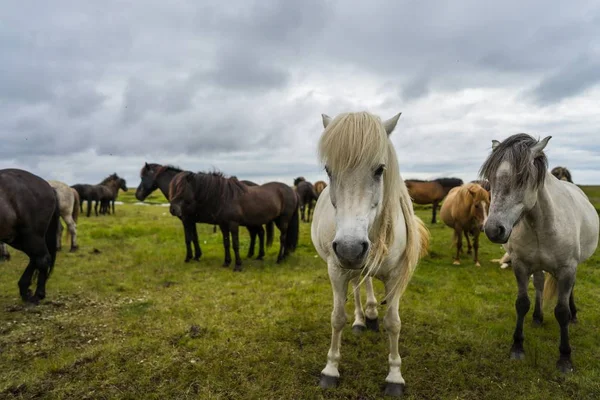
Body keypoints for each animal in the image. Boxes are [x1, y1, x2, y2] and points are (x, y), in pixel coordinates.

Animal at [0, 168, 60, 304]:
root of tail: (49, 187)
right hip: (18, 238)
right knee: (35, 258)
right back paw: (25, 289)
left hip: (31, 235)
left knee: (42, 259)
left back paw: (37, 294)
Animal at [138, 162, 268, 262]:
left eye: (143, 178)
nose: (137, 195)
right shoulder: (192, 221)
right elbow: (194, 237)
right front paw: (197, 256)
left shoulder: (186, 220)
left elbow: (188, 238)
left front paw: (189, 257)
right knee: (255, 233)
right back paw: (252, 254)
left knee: (260, 233)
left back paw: (259, 255)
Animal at [169, 170, 300, 270]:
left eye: (182, 189)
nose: (172, 209)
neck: (224, 196)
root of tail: (292, 191)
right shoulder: (223, 225)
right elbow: (226, 243)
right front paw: (226, 262)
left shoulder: (233, 224)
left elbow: (235, 244)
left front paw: (238, 265)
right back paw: (279, 257)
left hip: (283, 220)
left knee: (282, 238)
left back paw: (279, 259)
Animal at [312, 111, 428, 396]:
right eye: (329, 170)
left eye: (379, 169)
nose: (350, 248)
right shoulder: (337, 269)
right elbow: (337, 318)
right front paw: (330, 369)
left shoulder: (396, 277)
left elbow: (394, 323)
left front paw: (395, 376)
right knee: (357, 287)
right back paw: (361, 319)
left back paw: (372, 315)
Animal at [480, 134, 596, 372]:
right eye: (490, 180)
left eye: (522, 179)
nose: (493, 230)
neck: (542, 224)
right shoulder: (520, 266)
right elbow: (521, 303)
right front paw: (517, 347)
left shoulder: (567, 269)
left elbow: (561, 311)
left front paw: (565, 358)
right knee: (540, 284)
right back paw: (537, 317)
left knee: (570, 292)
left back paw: (574, 316)